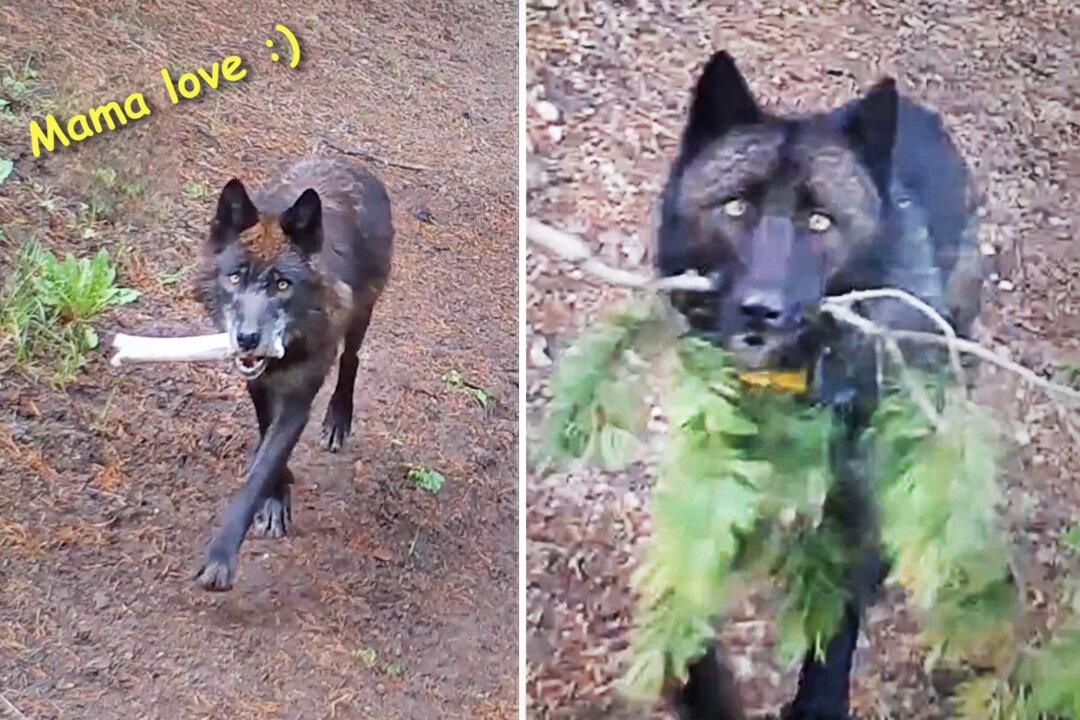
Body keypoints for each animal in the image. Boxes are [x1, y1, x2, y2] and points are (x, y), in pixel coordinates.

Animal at [192, 157, 393, 592]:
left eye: (283, 284)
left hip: (363, 313)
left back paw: (338, 420)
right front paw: (276, 496)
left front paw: (220, 557)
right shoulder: (258, 383)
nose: (248, 338)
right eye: (235, 276)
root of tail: (347, 162)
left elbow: (263, 468)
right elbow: (266, 436)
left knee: (351, 360)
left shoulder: (301, 396)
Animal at [656, 52, 983, 718]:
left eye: (818, 220)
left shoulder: (852, 507)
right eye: (736, 208)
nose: (762, 311)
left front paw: (818, 701)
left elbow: (837, 621)